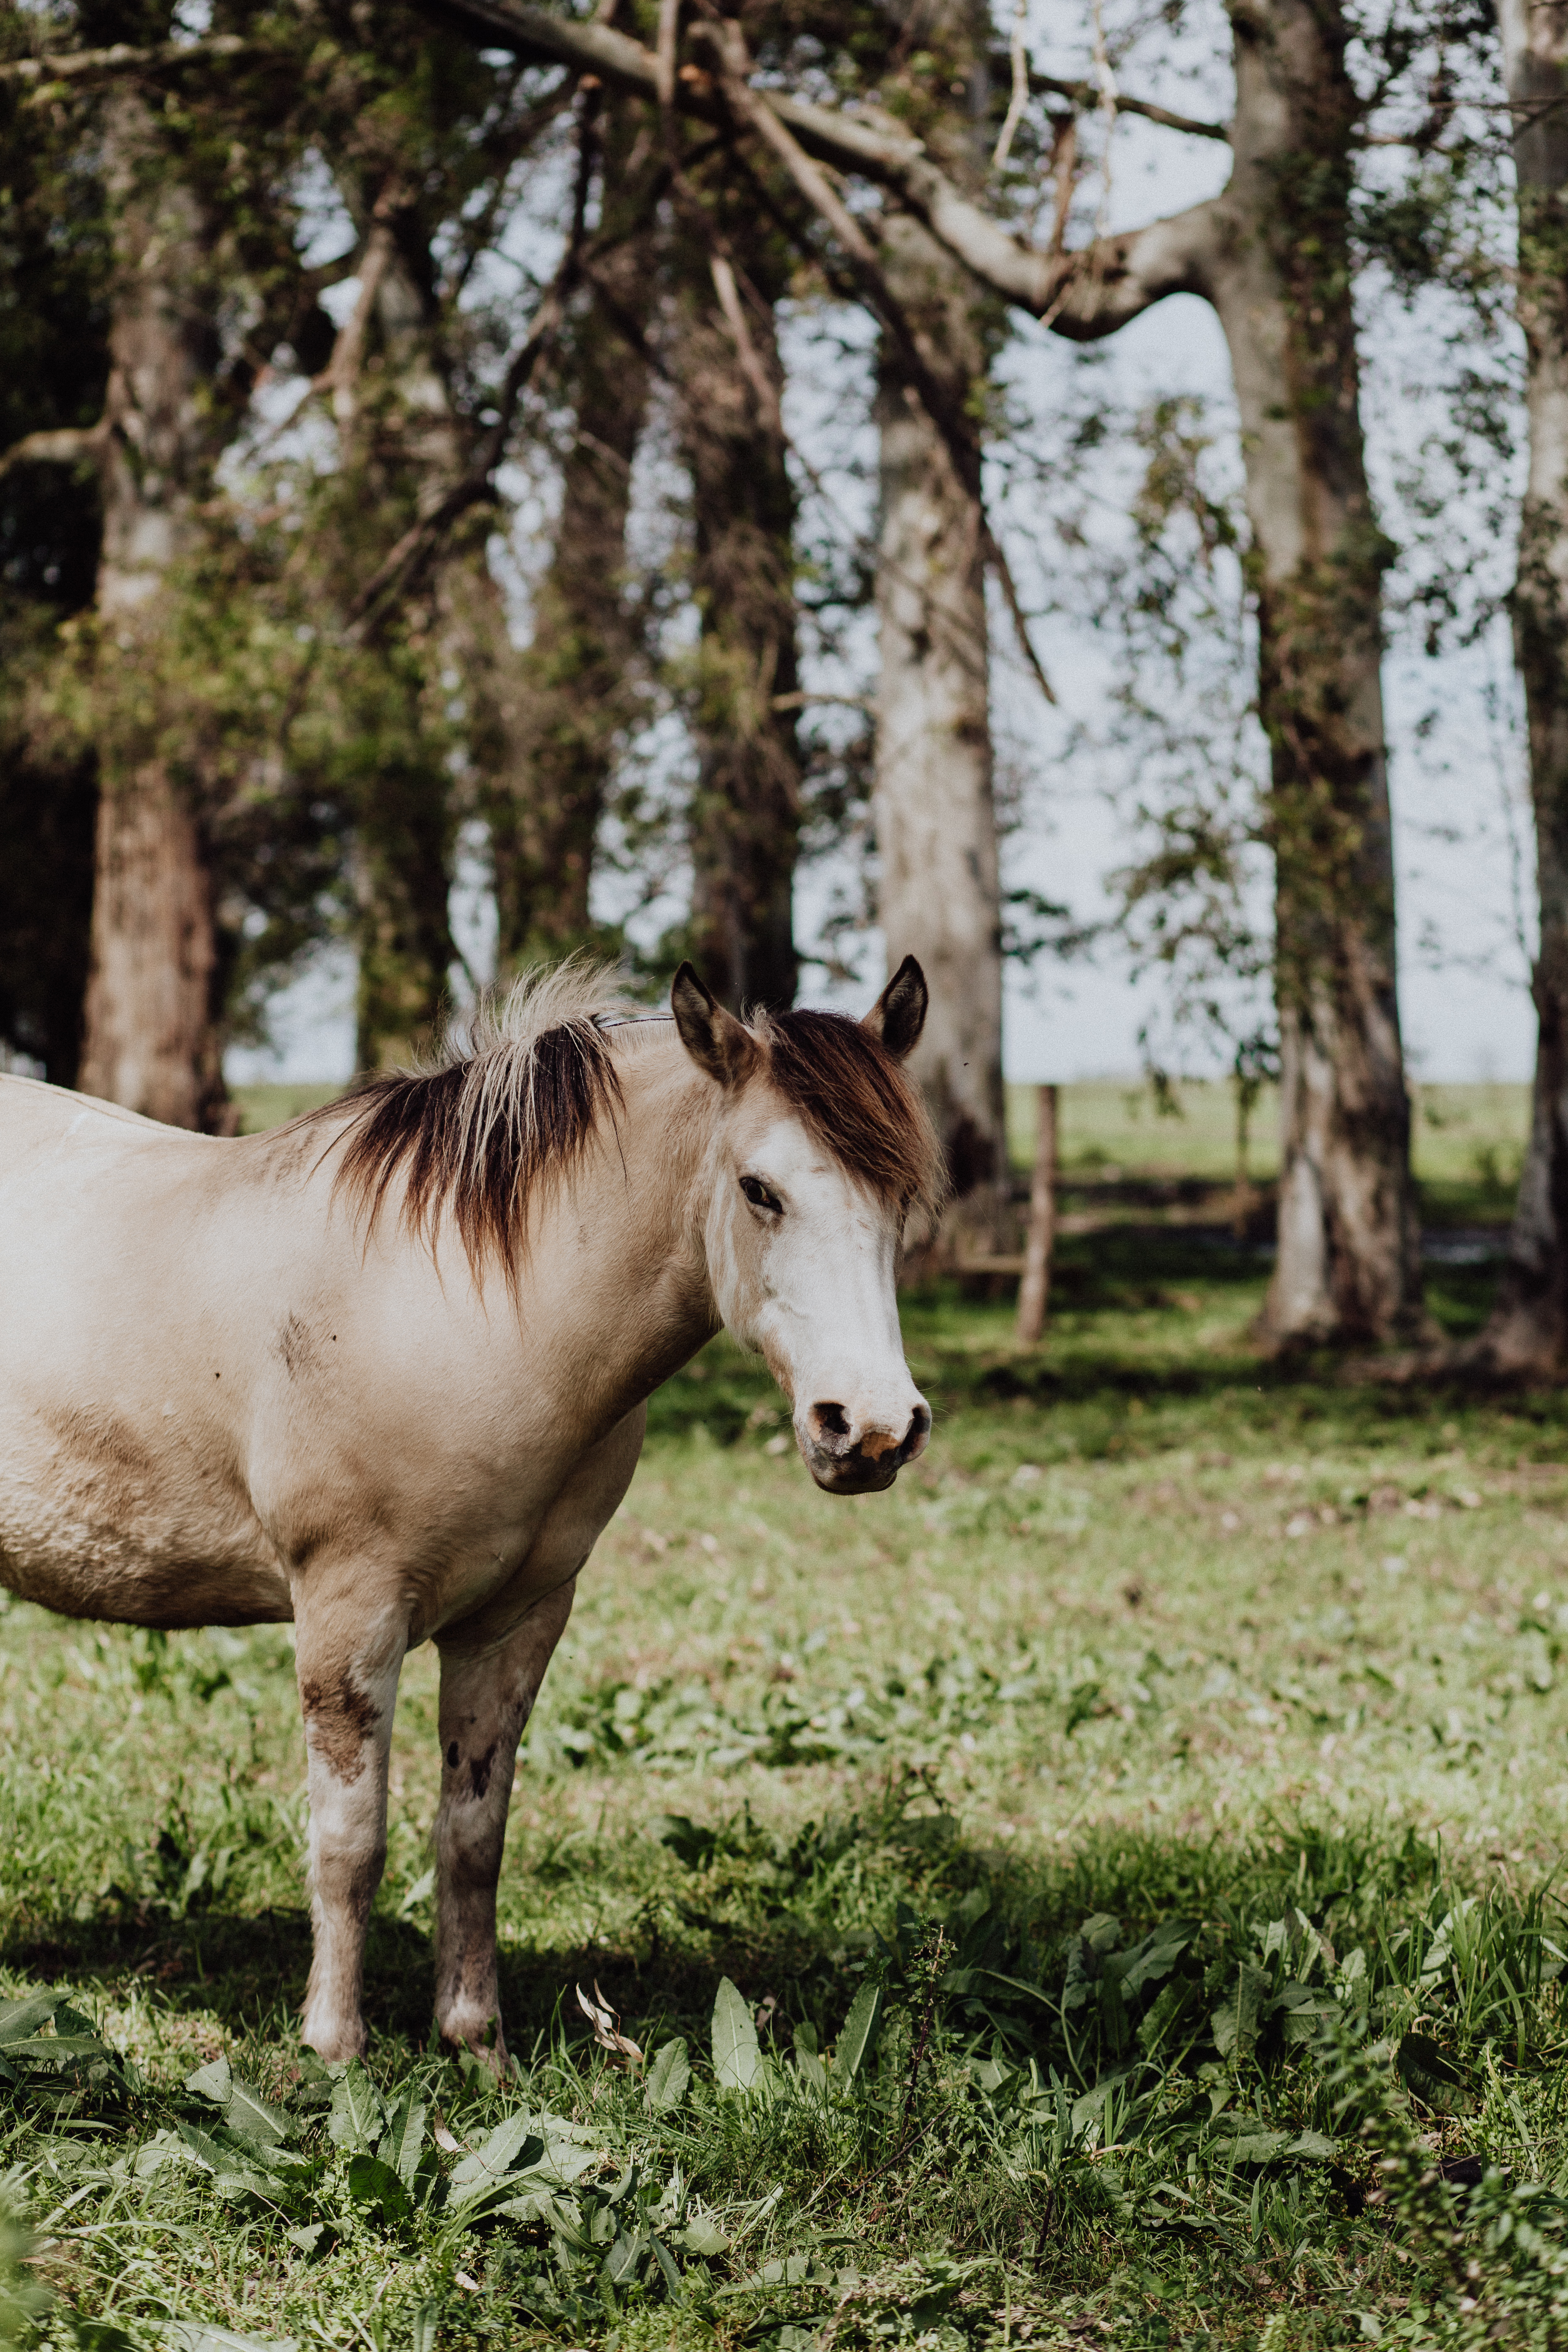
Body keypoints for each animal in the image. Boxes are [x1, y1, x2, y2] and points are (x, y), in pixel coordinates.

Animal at [0, 955, 940, 2060]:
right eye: (760, 1189)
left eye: (903, 1193)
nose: (869, 1428)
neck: (467, 1302)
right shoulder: (348, 1615)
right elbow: (350, 1842)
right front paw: (334, 2048)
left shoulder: (516, 1619)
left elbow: (473, 1833)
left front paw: (474, 2041)